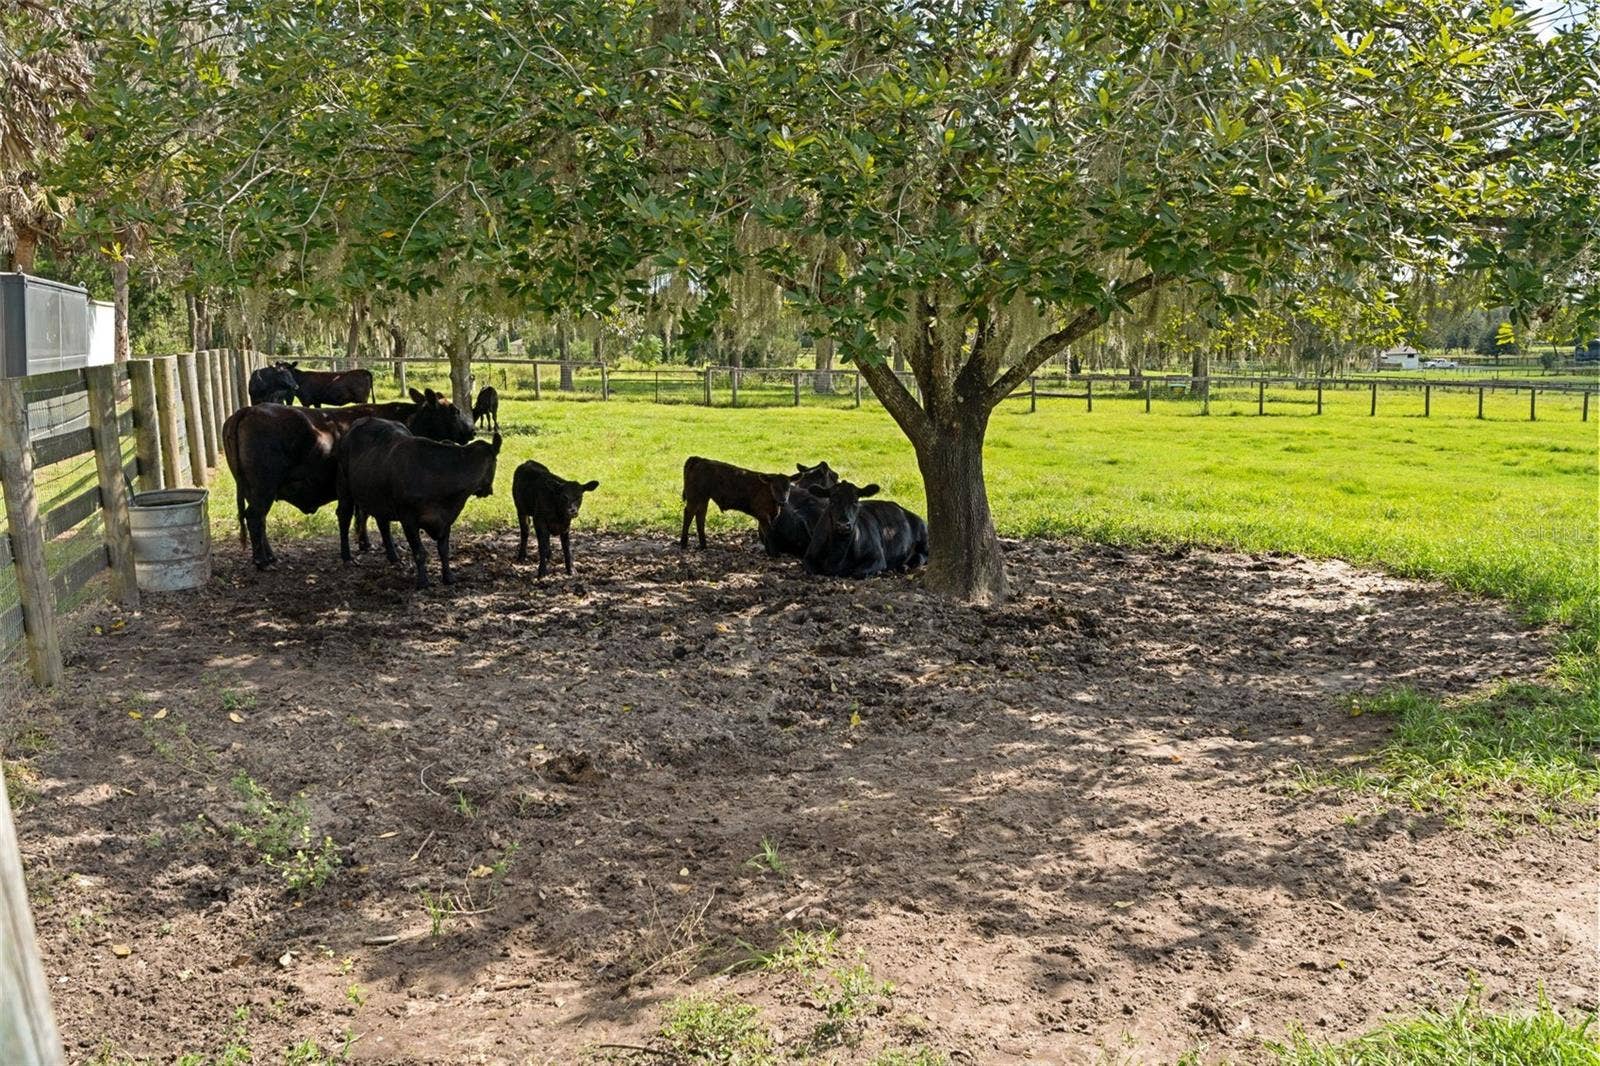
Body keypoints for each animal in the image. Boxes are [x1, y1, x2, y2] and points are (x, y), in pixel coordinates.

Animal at [223, 391, 472, 569]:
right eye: (454, 411)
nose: (471, 431)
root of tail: (248, 410)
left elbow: (361, 514)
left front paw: (365, 543)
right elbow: (365, 515)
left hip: (253, 490)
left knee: (258, 520)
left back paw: (271, 556)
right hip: (263, 488)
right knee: (255, 518)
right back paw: (262, 562)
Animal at [336, 419, 503, 588]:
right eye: (496, 461)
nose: (488, 490)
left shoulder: (446, 518)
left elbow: (444, 549)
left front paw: (448, 577)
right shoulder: (408, 519)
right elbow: (419, 552)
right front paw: (423, 582)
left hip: (379, 497)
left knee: (382, 523)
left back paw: (394, 557)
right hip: (345, 487)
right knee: (344, 516)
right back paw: (347, 557)